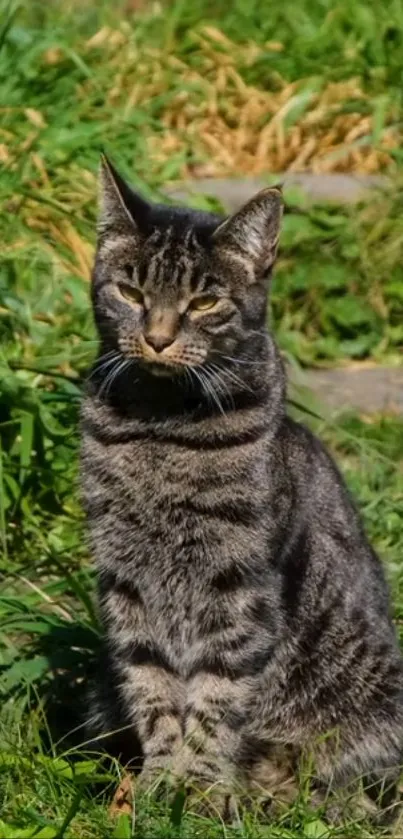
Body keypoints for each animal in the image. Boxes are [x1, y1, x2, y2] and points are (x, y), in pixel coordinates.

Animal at [81, 154, 403, 824]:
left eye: (205, 301)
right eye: (130, 292)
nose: (157, 336)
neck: (161, 426)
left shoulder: (240, 586)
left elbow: (216, 695)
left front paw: (200, 787)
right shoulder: (125, 582)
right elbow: (153, 689)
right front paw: (161, 782)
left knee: (344, 781)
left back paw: (274, 789)